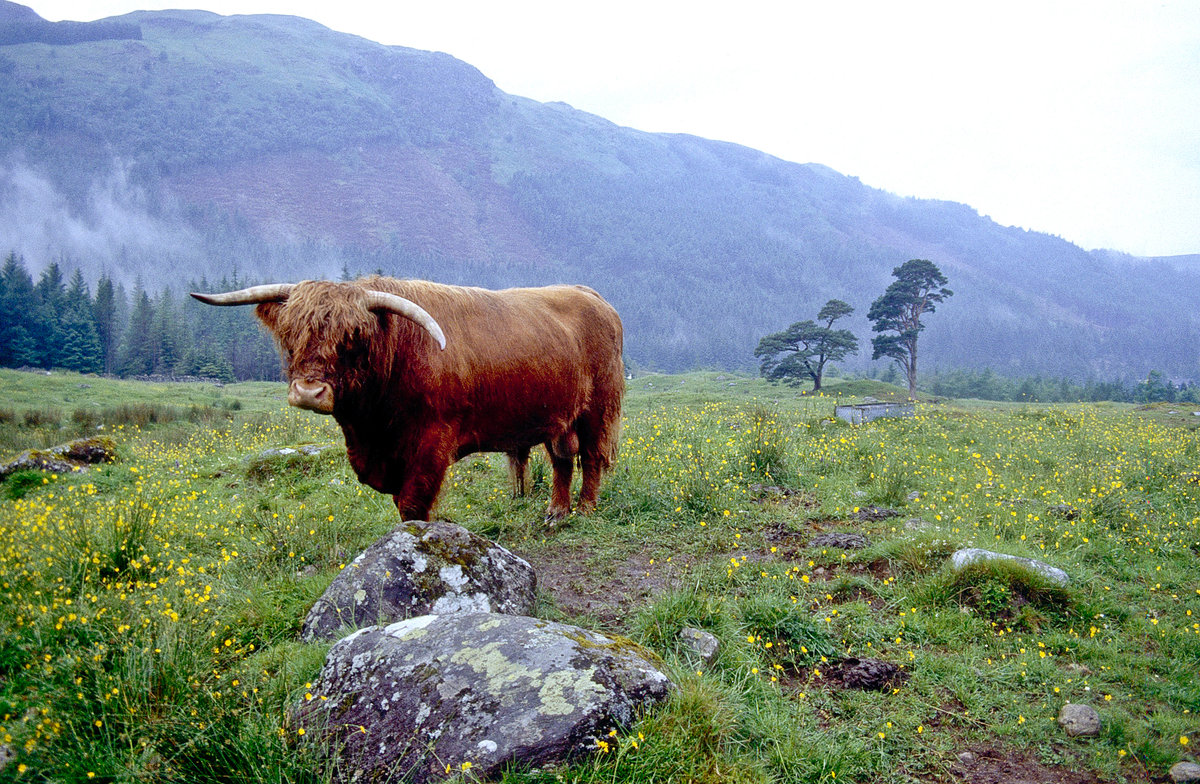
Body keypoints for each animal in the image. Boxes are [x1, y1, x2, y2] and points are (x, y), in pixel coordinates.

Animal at [192, 274, 624, 518]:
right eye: (291, 333)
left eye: (354, 338)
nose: (309, 392)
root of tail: (593, 296)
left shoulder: (432, 441)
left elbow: (413, 504)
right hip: (557, 413)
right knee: (562, 458)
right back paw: (556, 511)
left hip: (597, 407)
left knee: (591, 457)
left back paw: (585, 509)